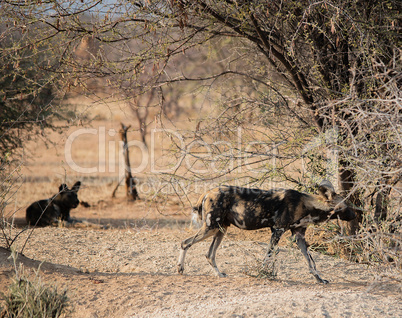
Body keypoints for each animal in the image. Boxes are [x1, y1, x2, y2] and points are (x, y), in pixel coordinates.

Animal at [177, 181, 356, 284]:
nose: (355, 215)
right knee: (185, 243)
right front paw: (261, 273)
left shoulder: (299, 236)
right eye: (345, 206)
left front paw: (319, 279)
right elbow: (268, 256)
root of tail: (207, 192)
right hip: (211, 227)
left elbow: (311, 261)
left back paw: (219, 274)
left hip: (221, 229)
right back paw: (180, 269)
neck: (307, 205)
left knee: (209, 254)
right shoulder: (277, 231)